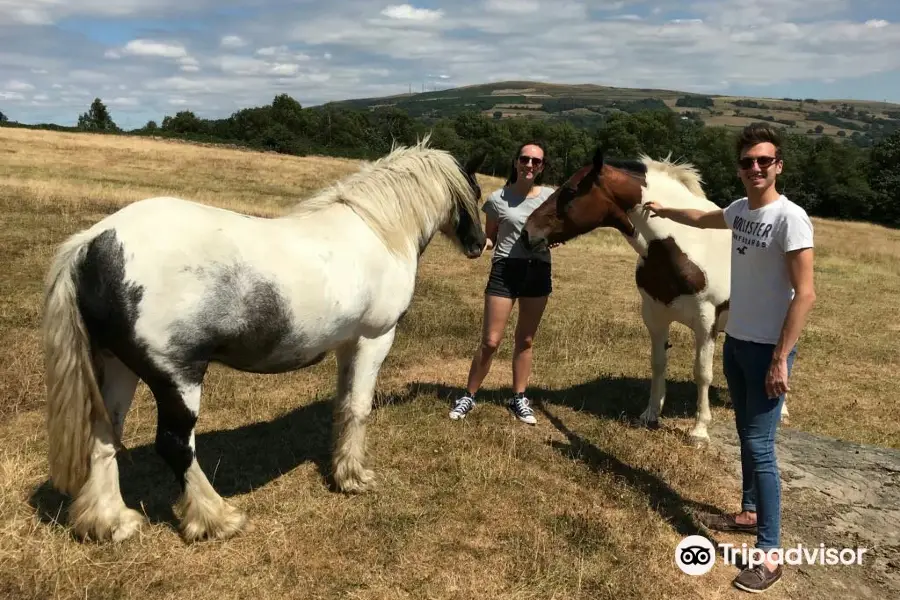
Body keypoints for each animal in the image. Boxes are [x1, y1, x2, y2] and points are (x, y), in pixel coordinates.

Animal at [44, 139, 486, 544]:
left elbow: (343, 406)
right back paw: (217, 518)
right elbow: (359, 408)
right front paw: (354, 478)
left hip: (118, 366)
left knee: (104, 435)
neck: (378, 231)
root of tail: (93, 242)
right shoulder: (374, 339)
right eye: (476, 193)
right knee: (175, 445)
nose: (479, 244)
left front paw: (341, 470)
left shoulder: (347, 345)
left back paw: (110, 523)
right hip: (178, 377)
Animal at [520, 148, 788, 442]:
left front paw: (699, 430)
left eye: (569, 190)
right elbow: (658, 364)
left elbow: (702, 373)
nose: (527, 232)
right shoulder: (655, 316)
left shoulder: (705, 323)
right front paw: (650, 415)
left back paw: (783, 412)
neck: (684, 246)